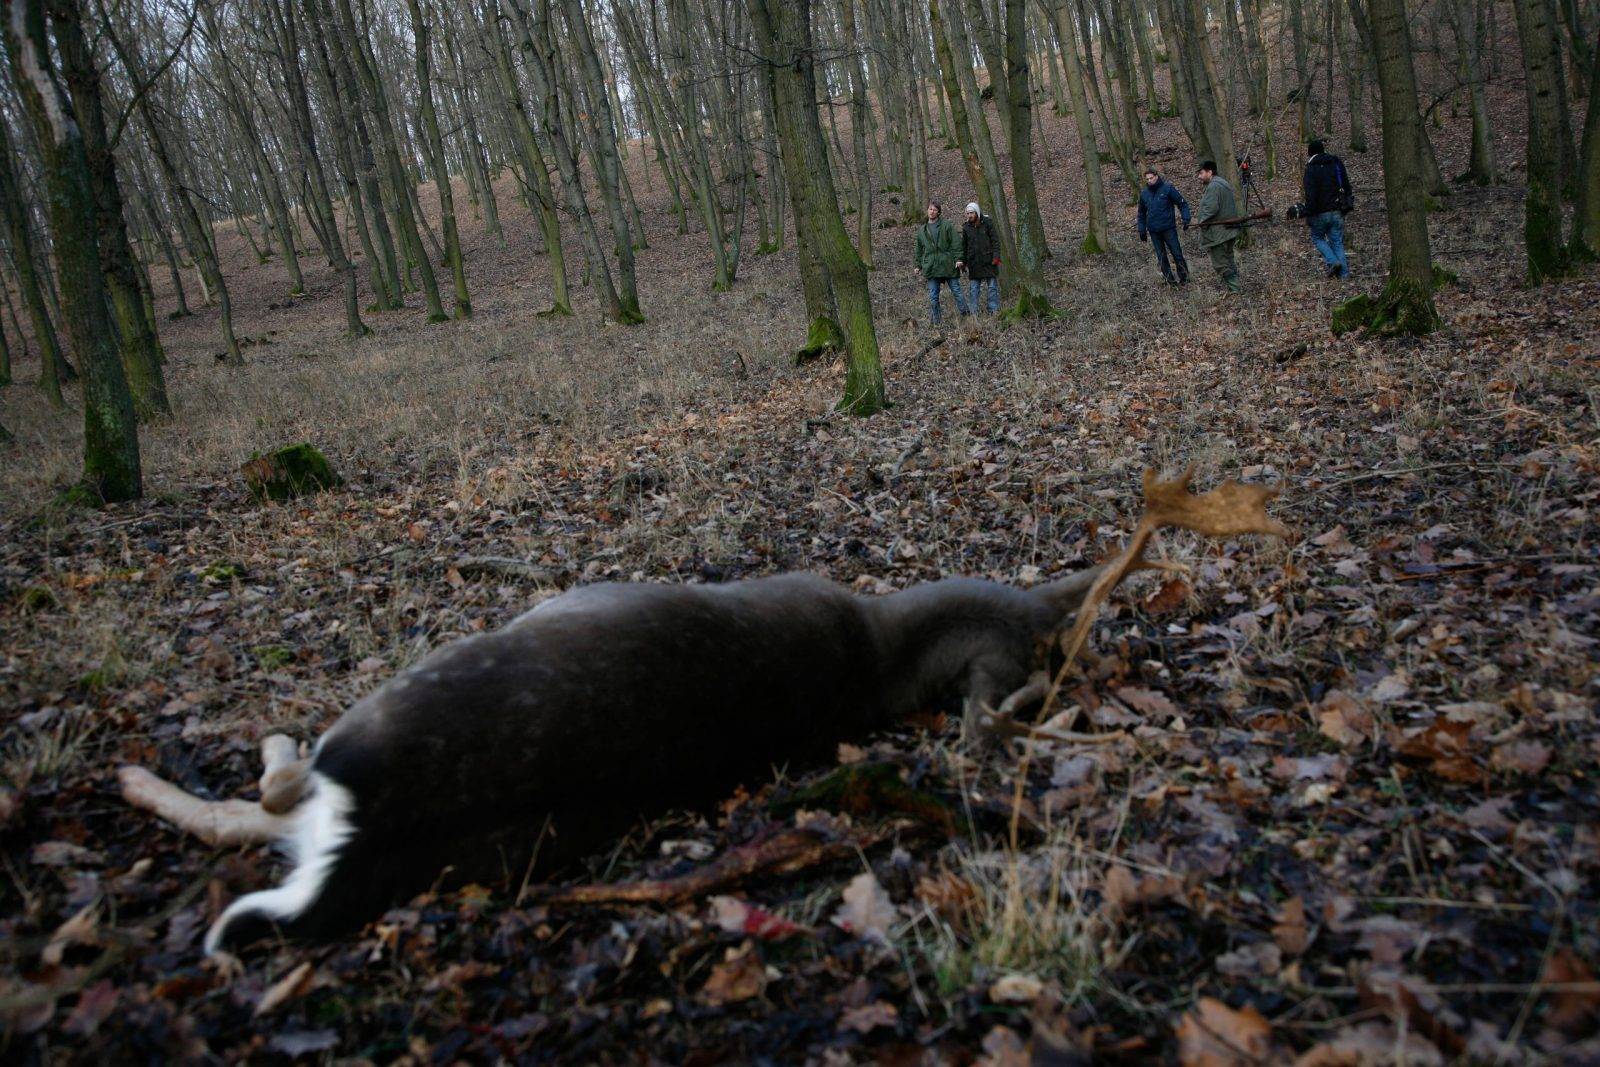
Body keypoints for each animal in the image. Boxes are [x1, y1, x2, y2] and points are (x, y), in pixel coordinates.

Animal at [118, 467, 1280, 953]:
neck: (877, 649)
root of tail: (367, 833)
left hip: (379, 717)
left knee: (276, 782)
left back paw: (189, 760)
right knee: (247, 818)